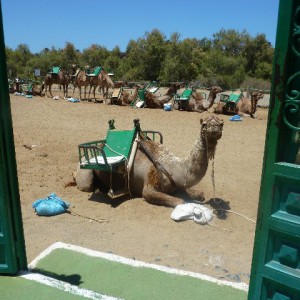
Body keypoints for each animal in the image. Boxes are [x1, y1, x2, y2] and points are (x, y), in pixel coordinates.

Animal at [74, 115, 224, 209]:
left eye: (221, 124)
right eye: (204, 124)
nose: (214, 128)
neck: (173, 167)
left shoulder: (178, 184)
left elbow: (199, 194)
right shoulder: (150, 182)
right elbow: (180, 201)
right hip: (84, 171)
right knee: (85, 185)